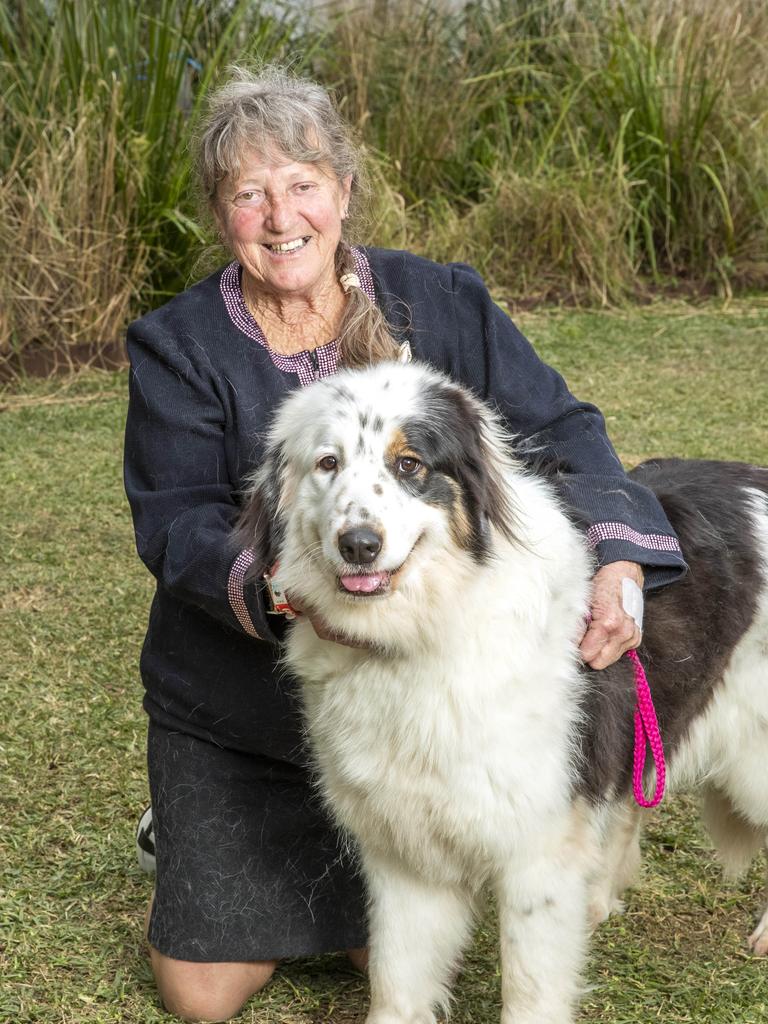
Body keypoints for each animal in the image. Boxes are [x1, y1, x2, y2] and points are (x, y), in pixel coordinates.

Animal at [239, 364, 768, 1024]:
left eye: (409, 464)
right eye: (327, 463)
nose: (358, 544)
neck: (427, 631)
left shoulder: (537, 849)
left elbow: (530, 988)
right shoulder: (406, 848)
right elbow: (396, 979)